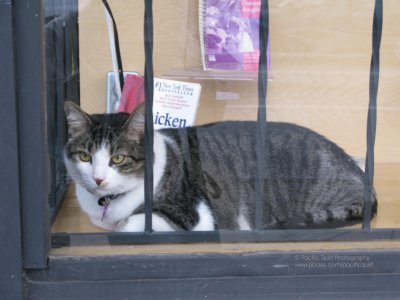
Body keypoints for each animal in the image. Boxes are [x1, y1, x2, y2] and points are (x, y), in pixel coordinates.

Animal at [64, 101, 376, 232]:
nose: (98, 179)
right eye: (85, 157)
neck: (108, 204)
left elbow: (131, 224)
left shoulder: (198, 217)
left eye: (118, 159)